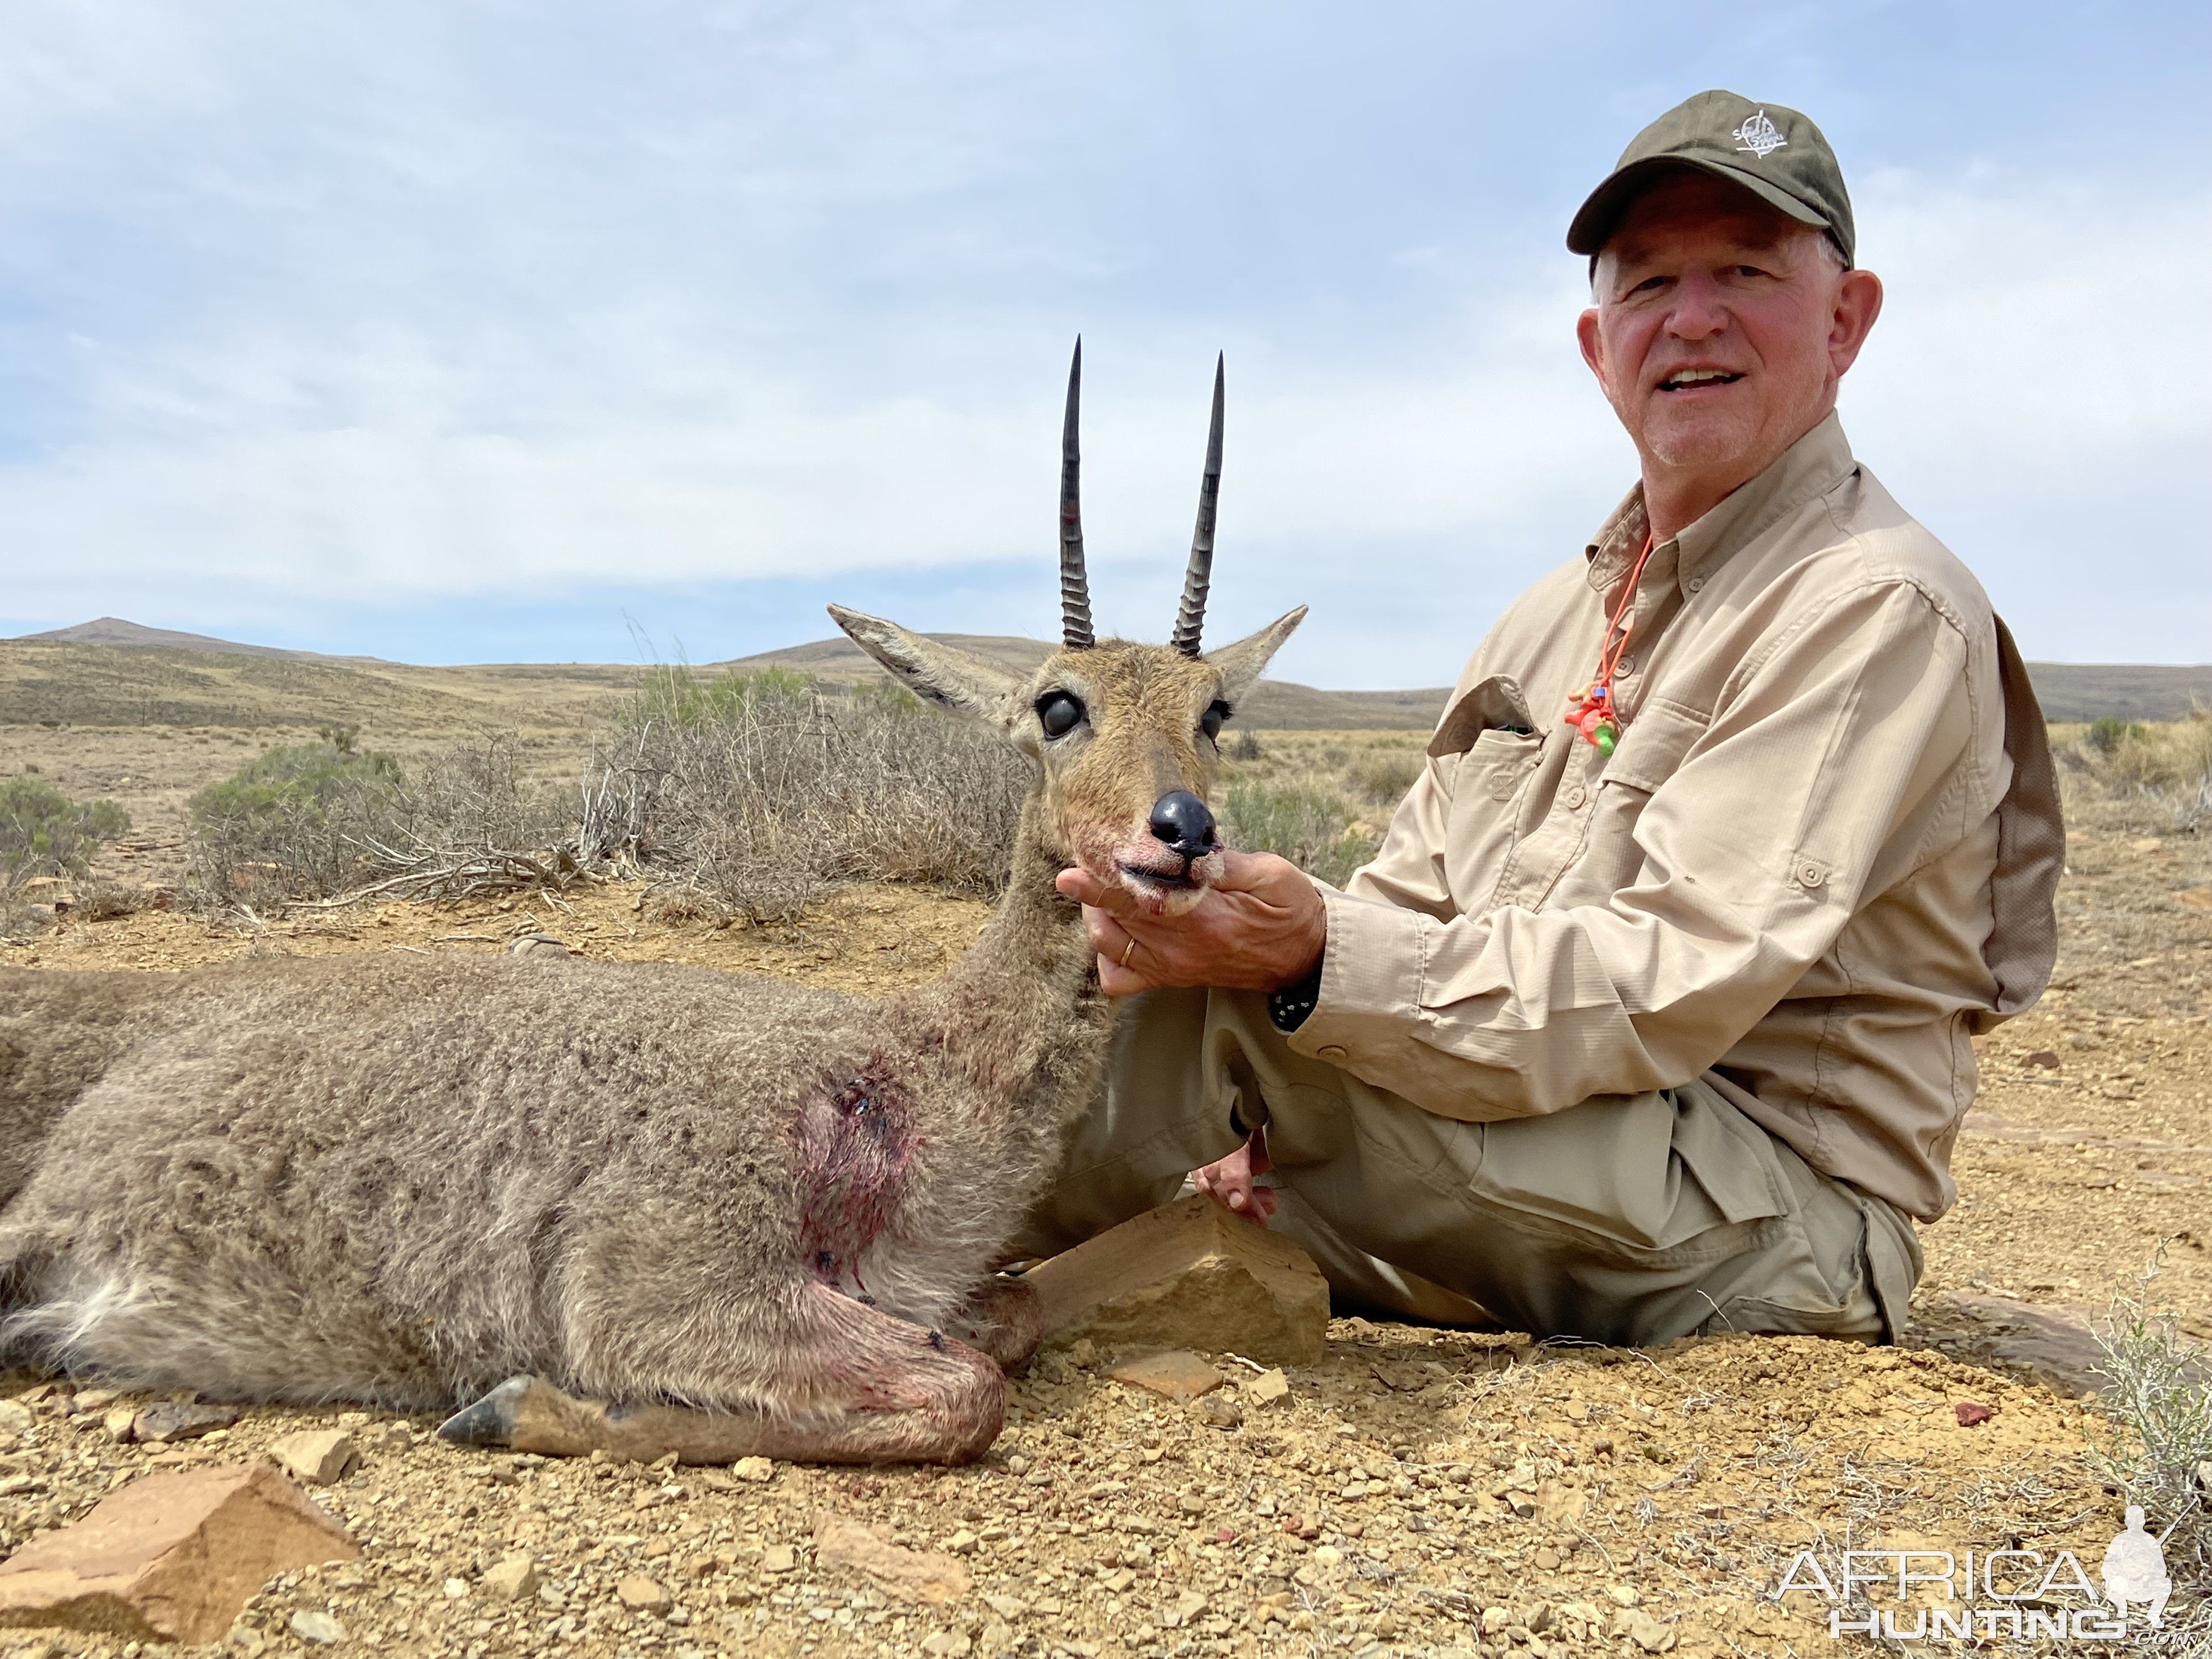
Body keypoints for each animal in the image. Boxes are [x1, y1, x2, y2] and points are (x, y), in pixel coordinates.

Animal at [0, 347, 1300, 1469]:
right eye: (1057, 705)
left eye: (1217, 710)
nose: (1182, 830)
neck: (912, 1068)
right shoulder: (661, 1275)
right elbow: (960, 1391)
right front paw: (531, 1404)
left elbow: (1010, 1319)